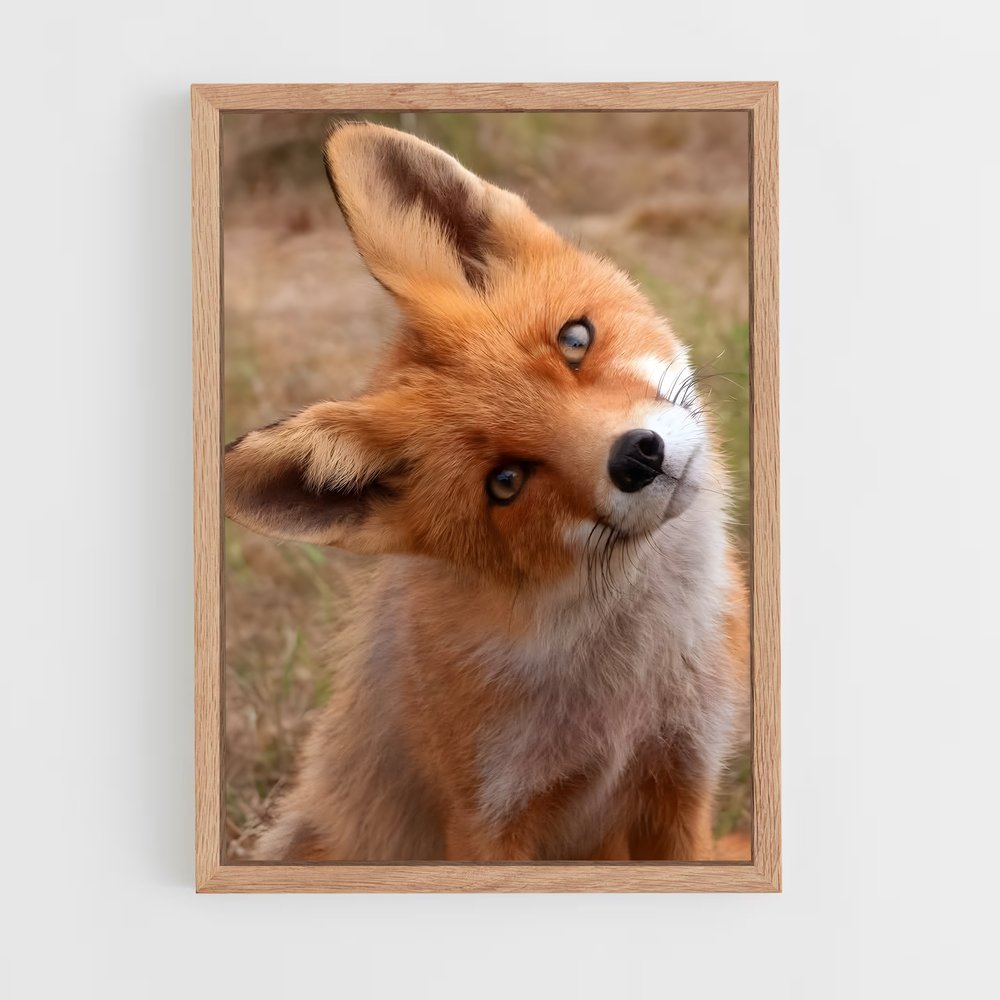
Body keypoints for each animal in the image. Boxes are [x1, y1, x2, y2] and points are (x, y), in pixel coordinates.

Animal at [224, 121, 749, 862]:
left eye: (575, 339)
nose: (638, 456)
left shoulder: (679, 779)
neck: (624, 698)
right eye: (504, 483)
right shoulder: (489, 820)